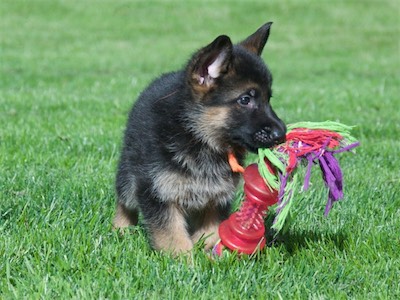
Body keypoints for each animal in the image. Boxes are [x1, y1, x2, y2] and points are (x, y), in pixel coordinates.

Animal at [114, 22, 286, 254]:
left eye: (269, 98)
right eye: (245, 99)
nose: (282, 134)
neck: (199, 137)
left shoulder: (217, 196)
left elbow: (211, 230)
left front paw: (209, 251)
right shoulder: (158, 192)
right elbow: (172, 236)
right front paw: (184, 261)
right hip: (129, 174)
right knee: (124, 201)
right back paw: (121, 230)